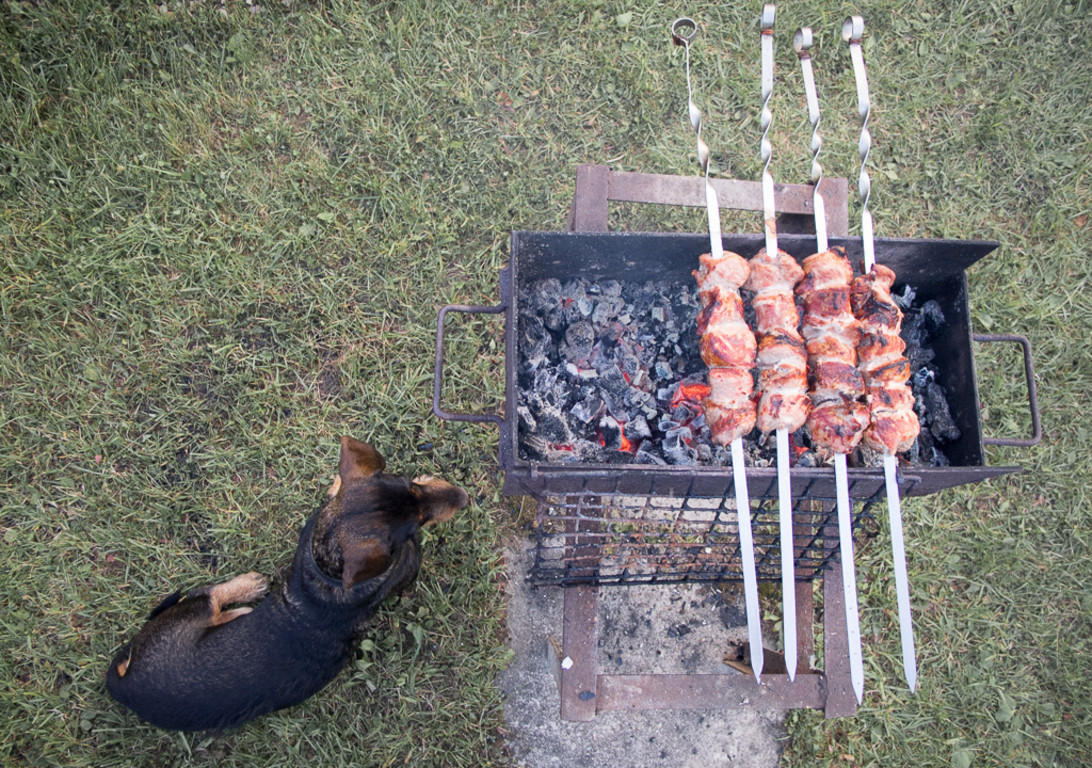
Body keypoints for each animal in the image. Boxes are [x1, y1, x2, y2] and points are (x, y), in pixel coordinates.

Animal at [104, 439, 471, 734]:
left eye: (411, 485)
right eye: (416, 526)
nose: (464, 498)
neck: (325, 573)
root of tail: (124, 688)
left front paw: (339, 481)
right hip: (191, 612)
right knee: (205, 595)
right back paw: (249, 587)